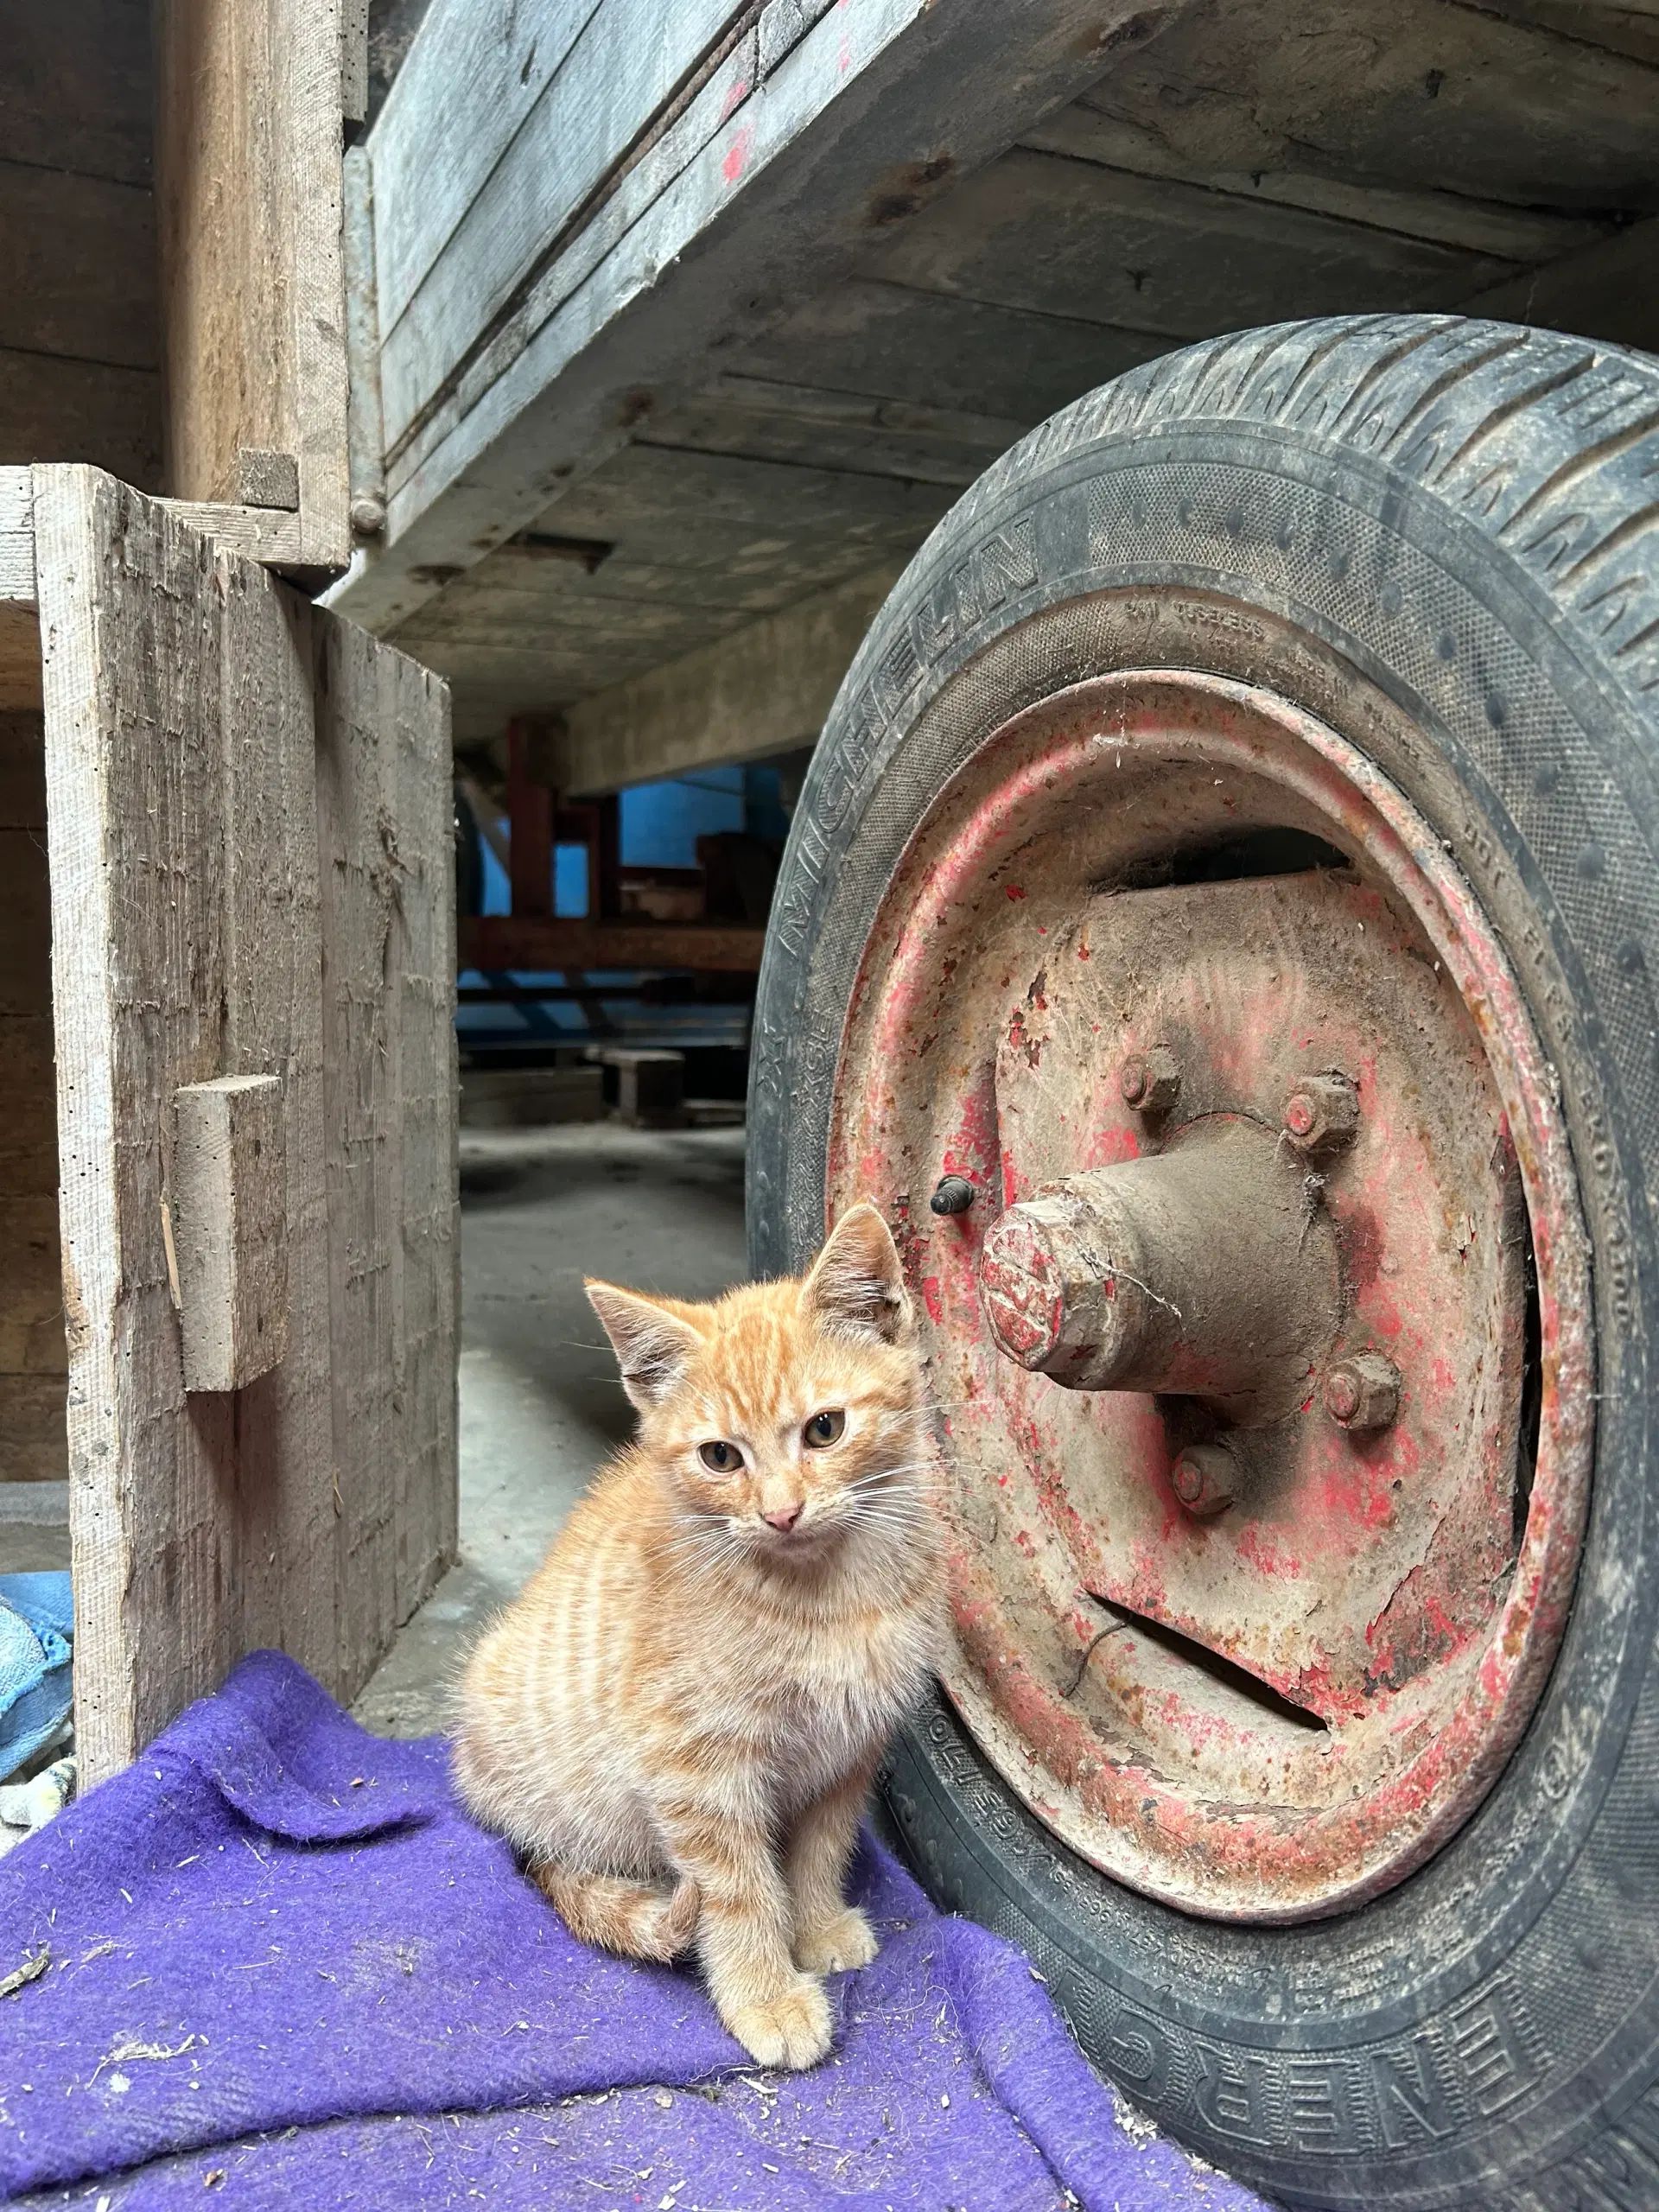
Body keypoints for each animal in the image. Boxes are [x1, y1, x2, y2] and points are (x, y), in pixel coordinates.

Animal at [455, 1203, 946, 2061]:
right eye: (720, 1457)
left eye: (825, 1430)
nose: (781, 1513)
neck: (830, 1594)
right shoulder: (694, 1766)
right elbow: (738, 1886)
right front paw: (766, 1994)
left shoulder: (849, 1748)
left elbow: (820, 1849)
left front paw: (816, 1926)